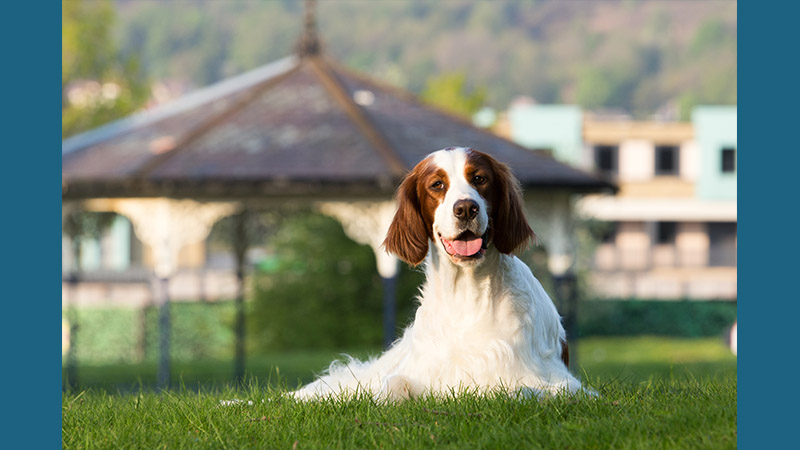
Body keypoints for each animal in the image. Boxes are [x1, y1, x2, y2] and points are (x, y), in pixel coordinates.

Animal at [290, 148, 584, 400]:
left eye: (480, 179)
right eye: (437, 185)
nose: (465, 208)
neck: (467, 295)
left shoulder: (562, 383)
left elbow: (521, 391)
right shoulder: (420, 373)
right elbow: (393, 385)